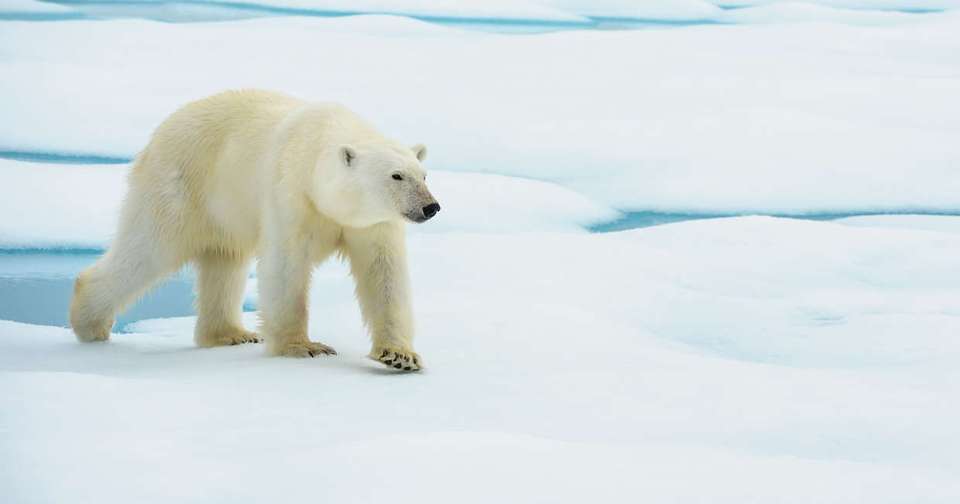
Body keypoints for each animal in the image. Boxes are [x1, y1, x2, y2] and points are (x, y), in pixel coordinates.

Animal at [69, 90, 439, 371]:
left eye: (423, 174)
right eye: (396, 176)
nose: (430, 207)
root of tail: (161, 131)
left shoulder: (373, 223)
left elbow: (384, 275)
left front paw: (399, 355)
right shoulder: (291, 193)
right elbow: (286, 266)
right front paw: (303, 346)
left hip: (222, 210)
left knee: (224, 262)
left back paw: (230, 334)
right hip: (181, 184)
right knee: (148, 248)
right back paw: (90, 324)